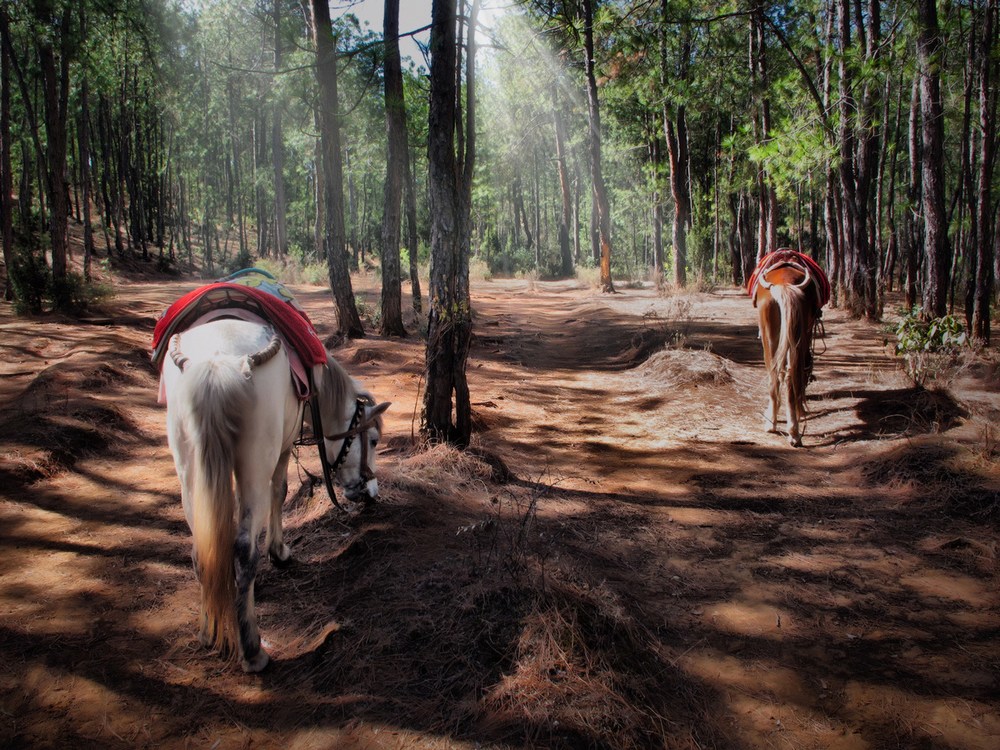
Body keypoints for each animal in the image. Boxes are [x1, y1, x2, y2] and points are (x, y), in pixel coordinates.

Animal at [162, 318, 388, 676]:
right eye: (375, 440)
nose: (371, 492)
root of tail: (216, 365)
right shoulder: (284, 446)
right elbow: (279, 492)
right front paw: (278, 552)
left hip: (188, 468)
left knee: (202, 547)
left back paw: (209, 629)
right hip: (257, 457)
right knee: (243, 549)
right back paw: (253, 649)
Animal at [752, 253, 824, 450]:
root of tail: (784, 283)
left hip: (771, 336)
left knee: (777, 377)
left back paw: (779, 425)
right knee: (787, 377)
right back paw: (791, 430)